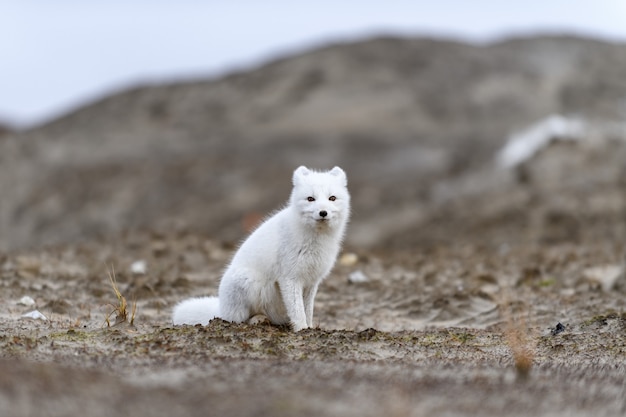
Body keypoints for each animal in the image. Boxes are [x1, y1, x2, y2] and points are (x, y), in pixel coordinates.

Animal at [173, 164, 348, 330]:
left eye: (332, 198)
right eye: (310, 199)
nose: (323, 212)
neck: (317, 241)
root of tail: (221, 307)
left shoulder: (312, 281)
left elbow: (308, 310)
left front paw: (310, 327)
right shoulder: (290, 277)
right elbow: (298, 311)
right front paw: (302, 330)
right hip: (249, 283)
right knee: (237, 319)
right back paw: (257, 319)